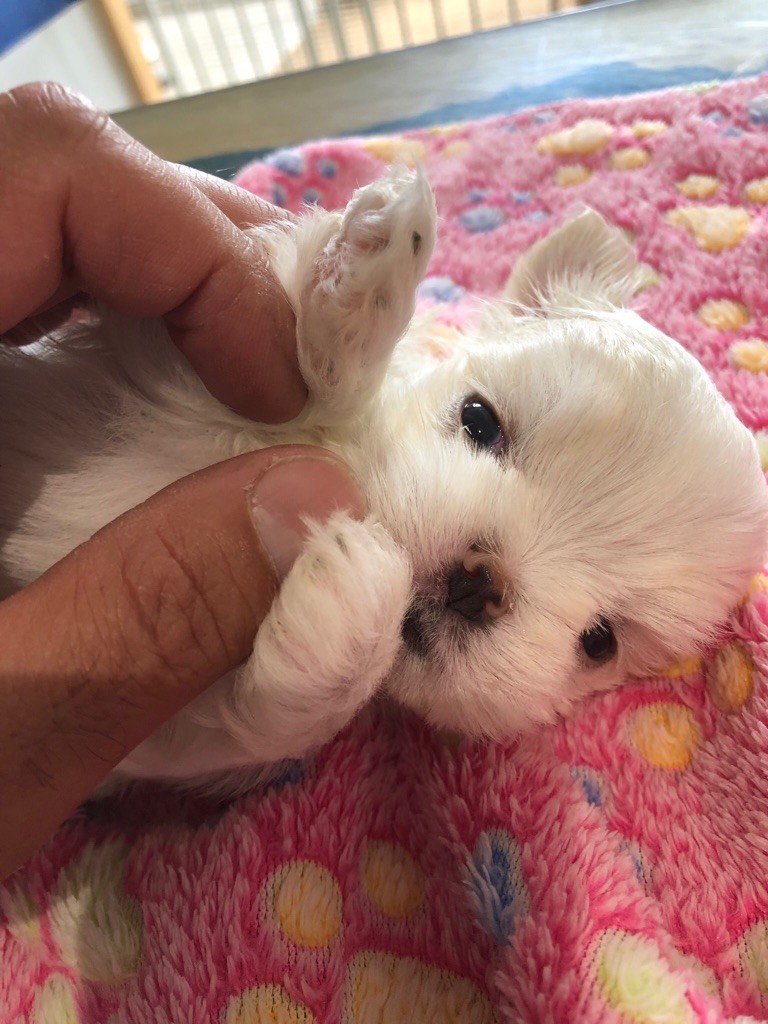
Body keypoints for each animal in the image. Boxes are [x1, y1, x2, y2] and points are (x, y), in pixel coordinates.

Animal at [1, 165, 768, 790]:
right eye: (479, 420)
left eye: (599, 643)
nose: (479, 582)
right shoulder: (172, 355)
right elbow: (277, 362)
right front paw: (373, 267)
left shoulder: (138, 732)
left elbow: (242, 724)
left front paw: (352, 595)